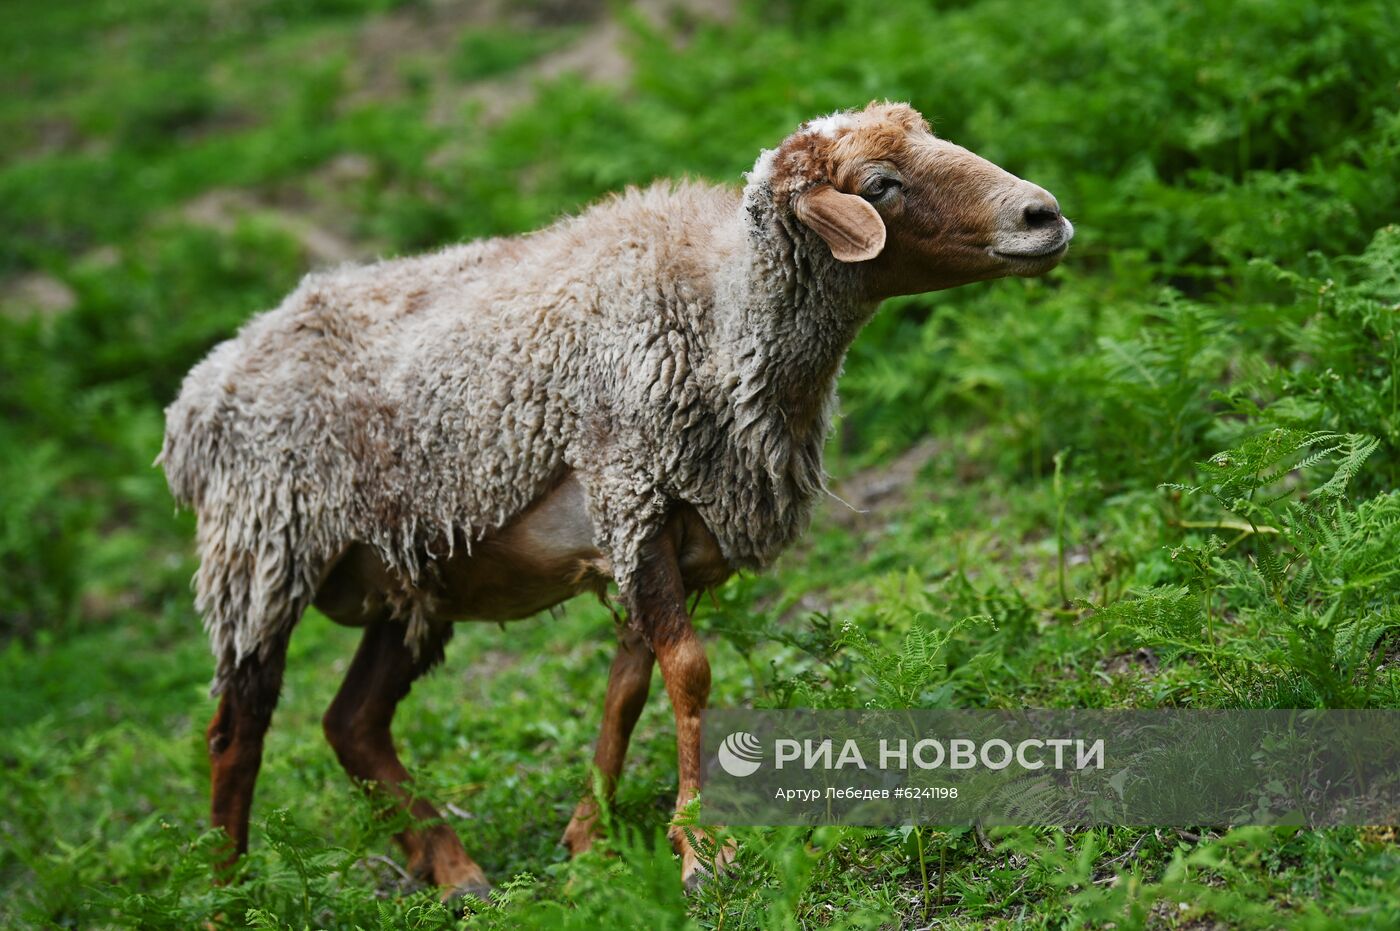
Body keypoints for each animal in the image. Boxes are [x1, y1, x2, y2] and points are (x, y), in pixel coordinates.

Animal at [158, 100, 1069, 896]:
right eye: (880, 183)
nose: (1043, 215)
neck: (719, 319)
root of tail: (197, 394)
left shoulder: (669, 533)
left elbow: (629, 685)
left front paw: (589, 840)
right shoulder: (631, 492)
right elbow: (691, 672)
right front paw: (702, 848)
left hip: (411, 570)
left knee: (351, 722)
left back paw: (451, 868)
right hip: (262, 549)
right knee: (237, 731)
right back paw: (229, 889)